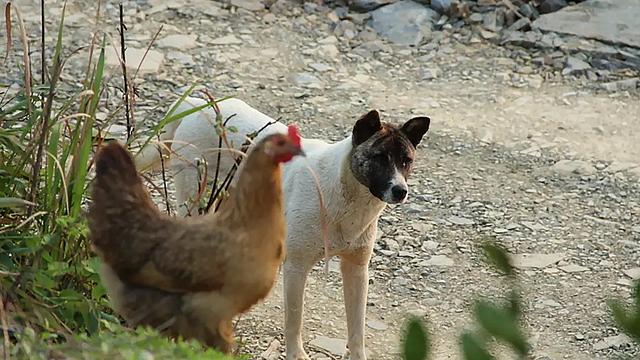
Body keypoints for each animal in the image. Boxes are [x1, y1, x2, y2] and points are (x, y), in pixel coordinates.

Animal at [138, 97, 432, 358]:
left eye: (406, 160)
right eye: (379, 158)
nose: (401, 191)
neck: (343, 192)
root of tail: (198, 104)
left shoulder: (357, 270)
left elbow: (357, 328)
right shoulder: (296, 268)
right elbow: (294, 320)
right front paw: (296, 354)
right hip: (195, 200)